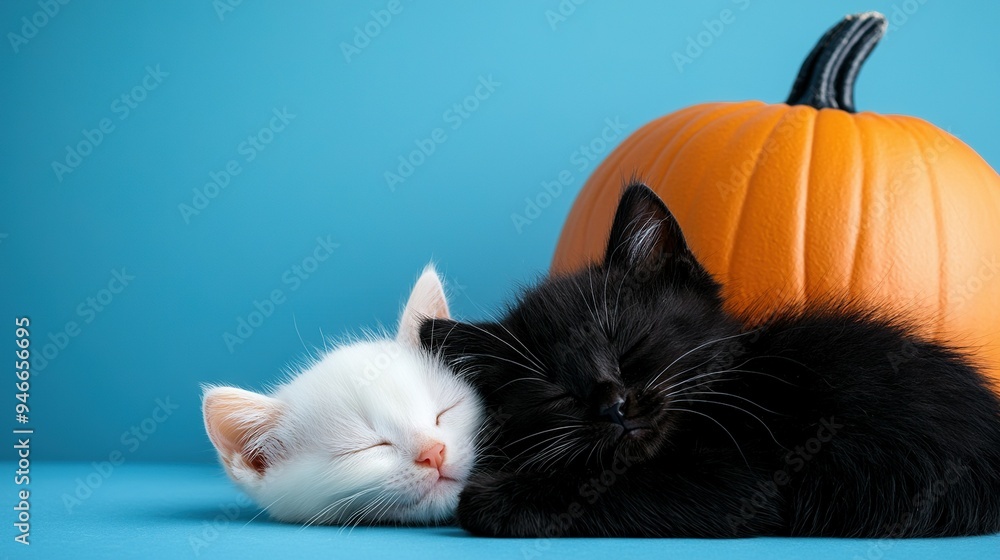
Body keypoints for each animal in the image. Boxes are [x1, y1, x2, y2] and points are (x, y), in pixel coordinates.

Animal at [418, 184, 1000, 540]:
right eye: (557, 392)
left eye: (629, 347)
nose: (614, 404)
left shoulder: (745, 480)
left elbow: (614, 486)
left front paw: (493, 499)